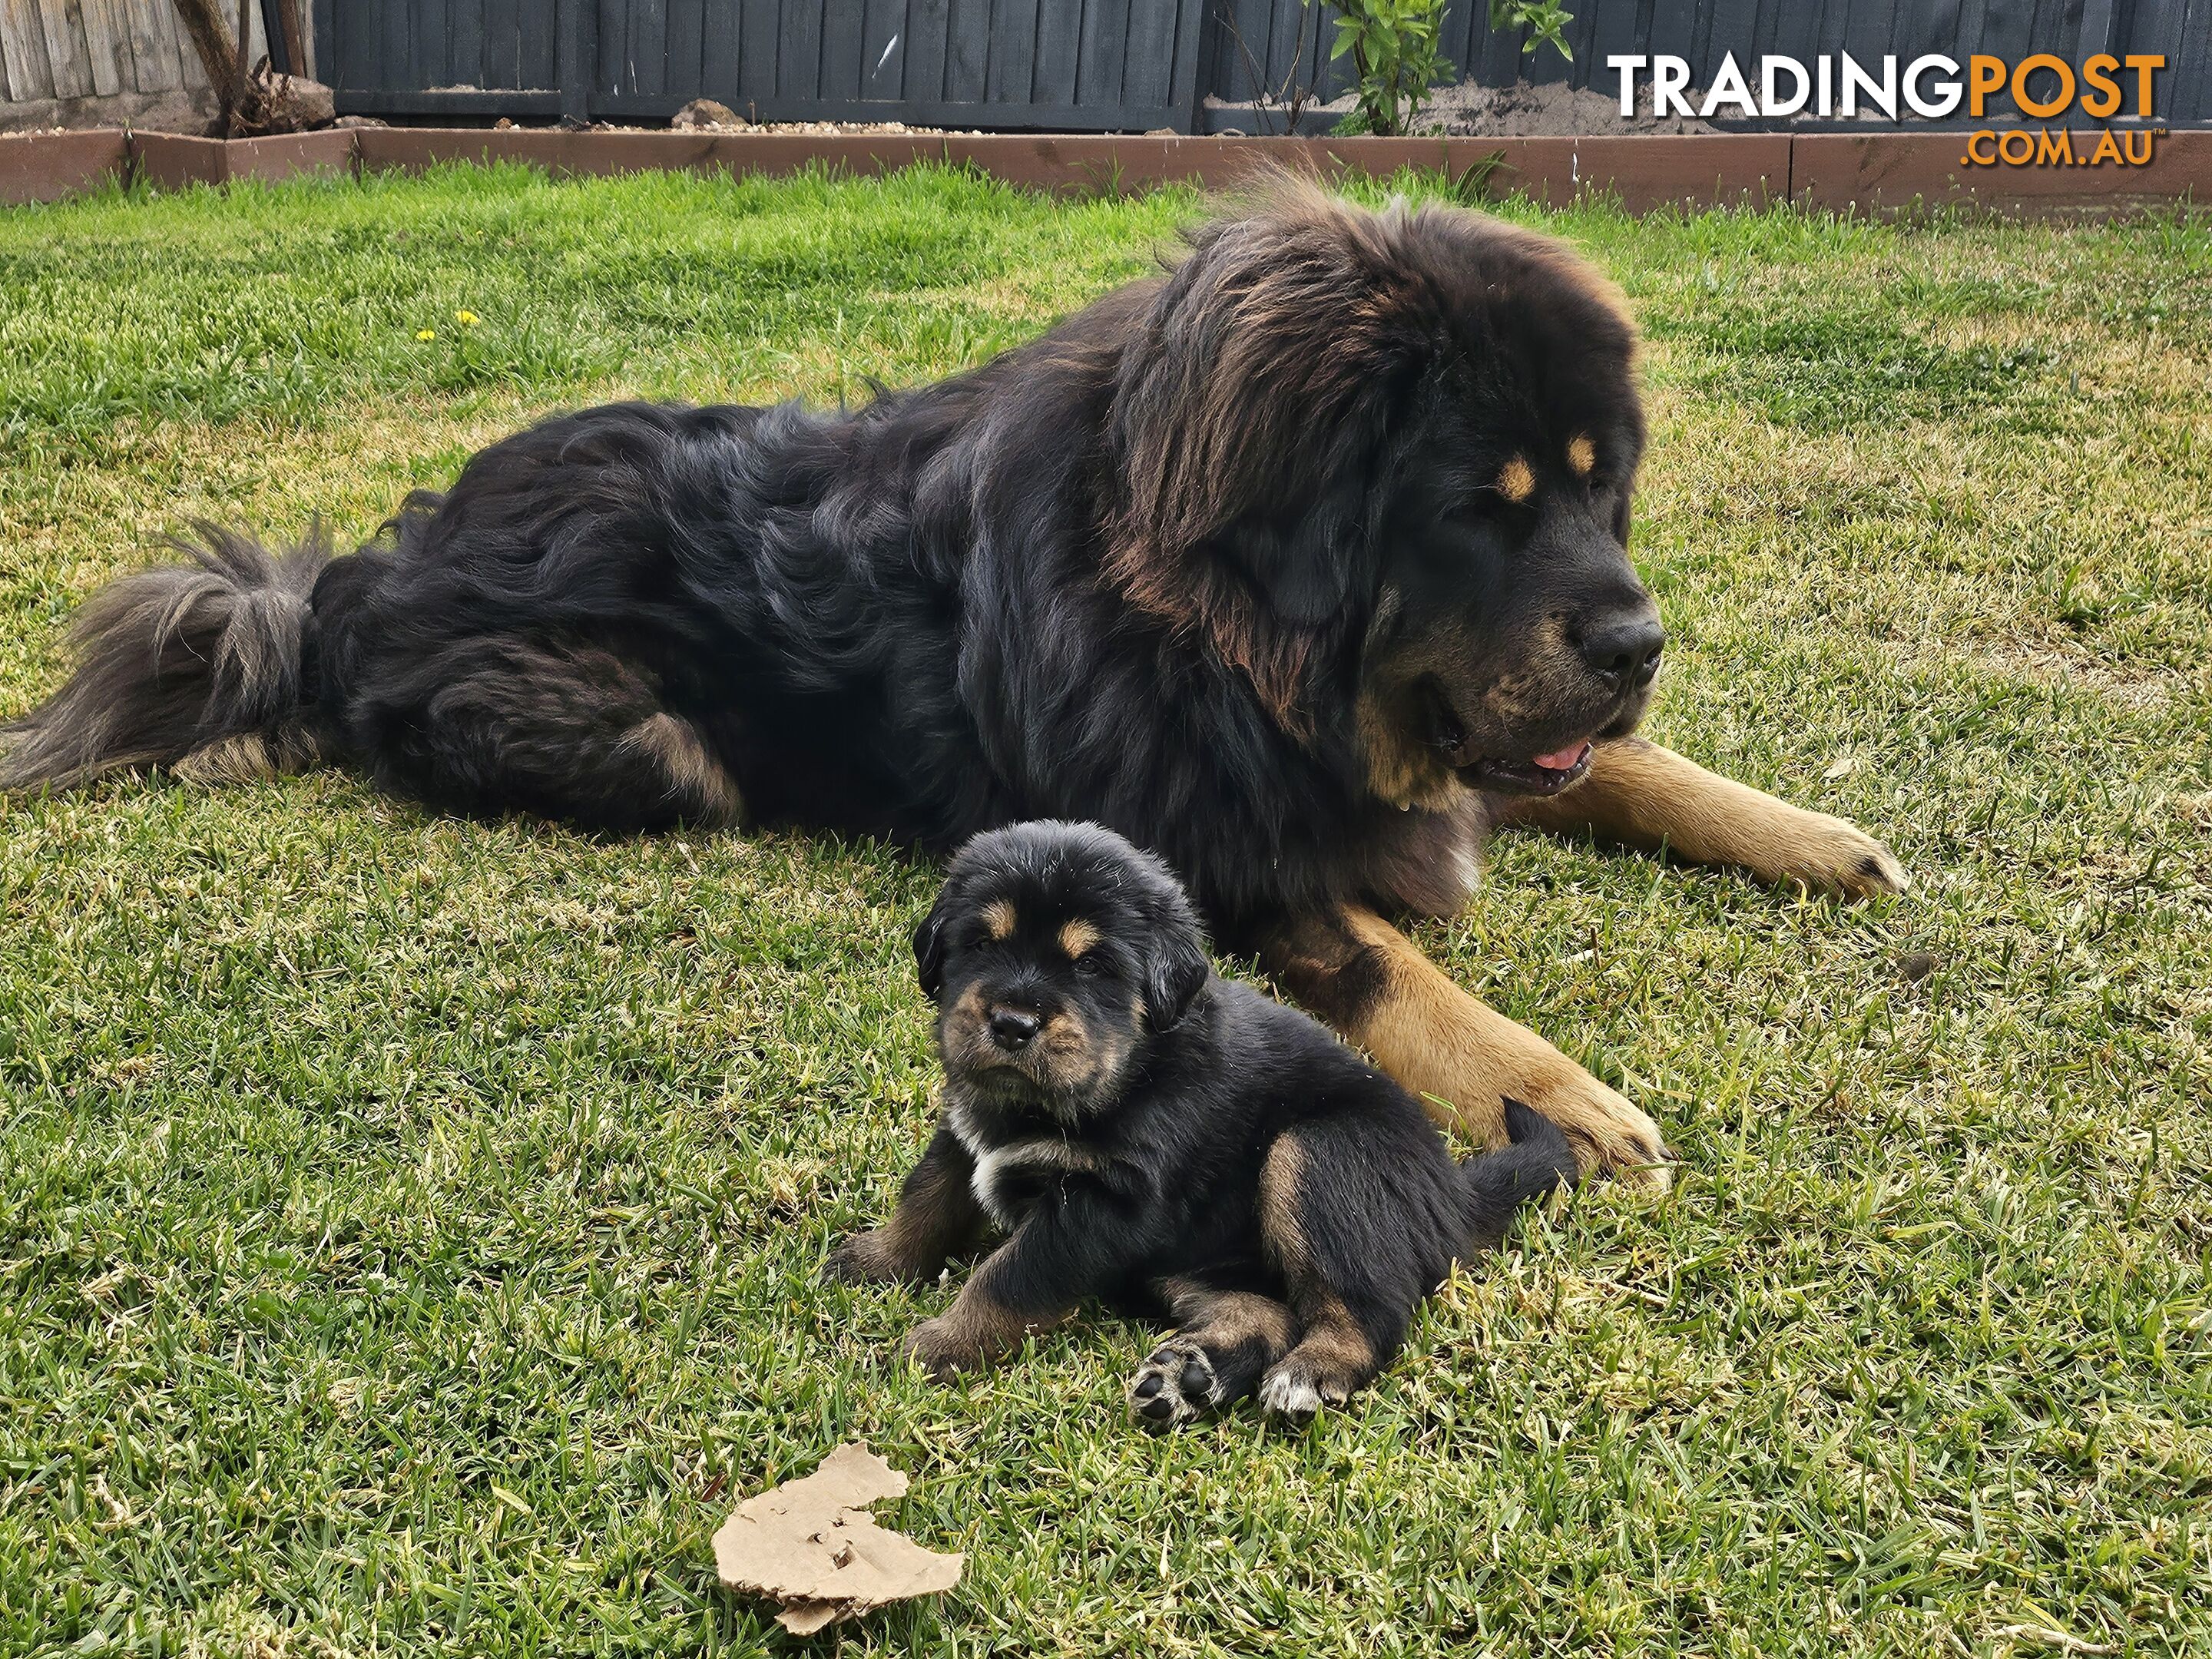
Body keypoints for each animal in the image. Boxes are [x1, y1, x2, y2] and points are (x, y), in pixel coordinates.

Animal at [0, 181, 1902, 1185]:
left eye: (1598, 492)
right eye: (1483, 509)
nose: (1639, 644)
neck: (1213, 631)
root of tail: (358, 579)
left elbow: (1611, 772)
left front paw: (1805, 832)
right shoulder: (1208, 856)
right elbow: (1393, 971)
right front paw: (1557, 1092)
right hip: (647, 742)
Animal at [827, 827, 1575, 1424]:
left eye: (1093, 965)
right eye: (981, 942)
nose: (1011, 1024)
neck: (1126, 1073)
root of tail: (1453, 1192)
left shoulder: (1102, 1204)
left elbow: (1006, 1278)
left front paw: (933, 1347)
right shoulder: (965, 1134)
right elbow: (927, 1198)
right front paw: (871, 1261)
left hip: (1317, 1154)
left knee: (1368, 1309)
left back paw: (1310, 1373)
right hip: (1192, 1260)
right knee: (1267, 1313)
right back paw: (1187, 1379)